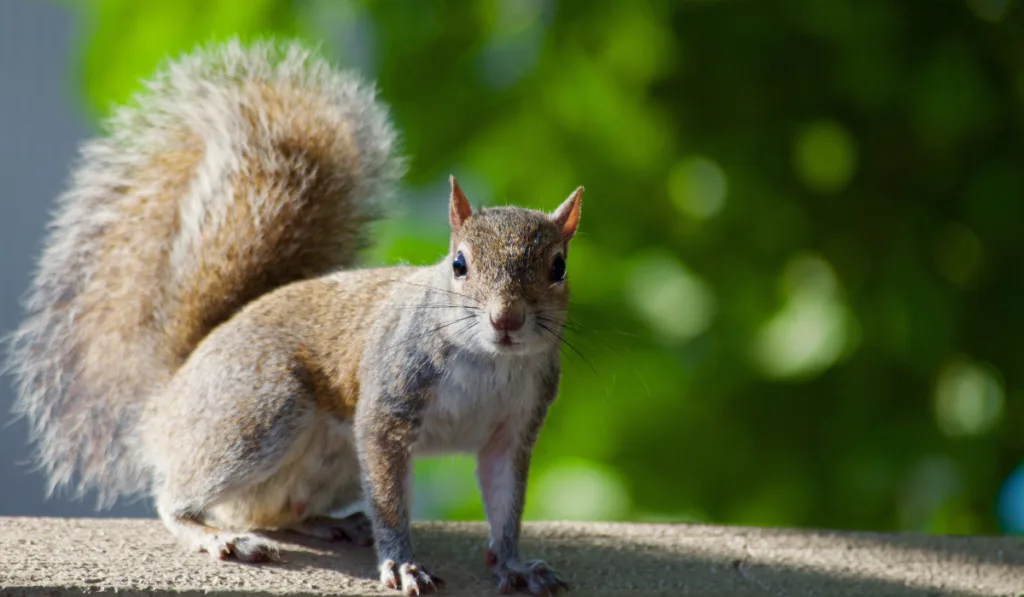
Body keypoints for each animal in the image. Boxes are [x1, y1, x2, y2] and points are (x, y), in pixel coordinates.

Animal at [4, 39, 581, 593]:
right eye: (459, 264)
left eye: (559, 267)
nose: (506, 319)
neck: (487, 362)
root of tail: (167, 398)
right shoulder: (388, 405)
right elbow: (391, 501)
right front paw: (401, 564)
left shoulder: (514, 428)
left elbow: (505, 505)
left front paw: (515, 565)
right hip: (259, 412)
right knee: (179, 499)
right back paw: (218, 537)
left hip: (331, 462)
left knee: (276, 509)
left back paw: (331, 523)